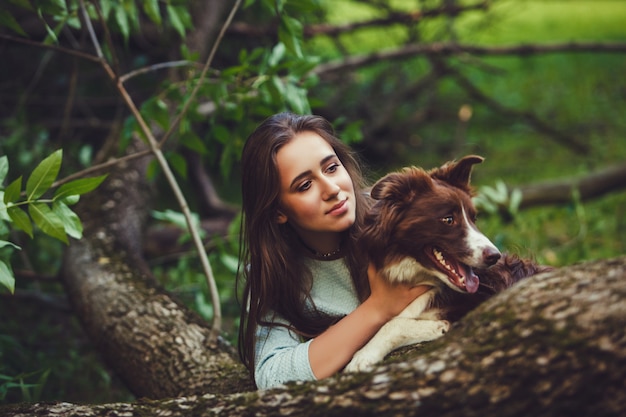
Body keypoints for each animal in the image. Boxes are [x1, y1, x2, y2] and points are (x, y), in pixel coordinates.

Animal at [344, 154, 548, 372]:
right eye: (448, 219)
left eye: (474, 218)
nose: (495, 256)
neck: (415, 275)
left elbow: (394, 323)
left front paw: (363, 356)